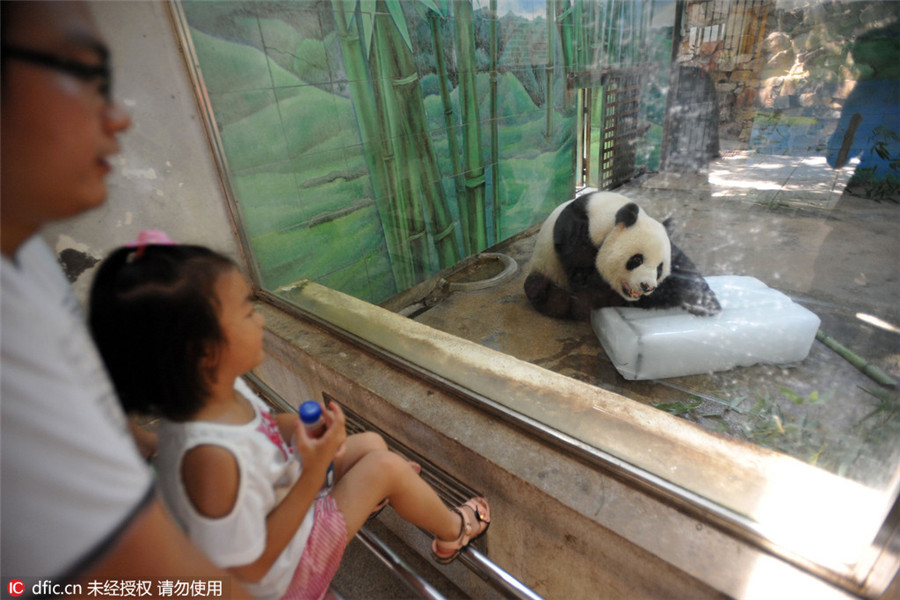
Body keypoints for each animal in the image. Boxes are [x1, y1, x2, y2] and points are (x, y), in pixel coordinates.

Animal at [524, 192, 720, 324]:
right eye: (637, 260)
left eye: (659, 269)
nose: (647, 286)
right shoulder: (575, 234)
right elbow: (584, 277)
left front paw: (707, 303)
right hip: (546, 269)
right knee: (539, 288)